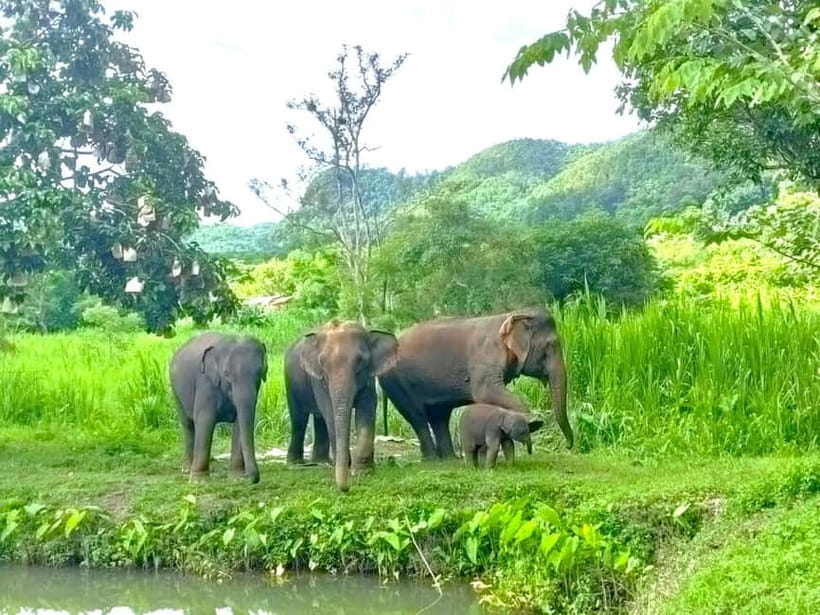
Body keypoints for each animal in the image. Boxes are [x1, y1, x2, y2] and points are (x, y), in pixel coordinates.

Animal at [169, 332, 267, 483]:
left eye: (260, 372)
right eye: (226, 374)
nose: (251, 479)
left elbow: (239, 423)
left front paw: (236, 477)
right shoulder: (205, 383)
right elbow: (205, 420)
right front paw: (199, 480)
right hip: (176, 392)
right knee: (188, 425)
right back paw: (186, 469)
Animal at [284, 320, 398, 492]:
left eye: (360, 360)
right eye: (321, 362)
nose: (345, 488)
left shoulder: (368, 379)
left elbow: (367, 409)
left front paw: (363, 471)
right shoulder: (318, 378)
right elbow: (329, 410)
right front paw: (348, 465)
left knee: (319, 420)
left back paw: (323, 461)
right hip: (290, 383)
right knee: (299, 419)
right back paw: (296, 462)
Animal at [378, 307, 571, 460]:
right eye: (549, 347)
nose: (570, 446)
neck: (510, 315)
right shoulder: (485, 357)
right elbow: (486, 392)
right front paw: (534, 422)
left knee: (439, 416)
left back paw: (449, 459)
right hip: (395, 381)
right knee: (417, 416)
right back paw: (433, 460)